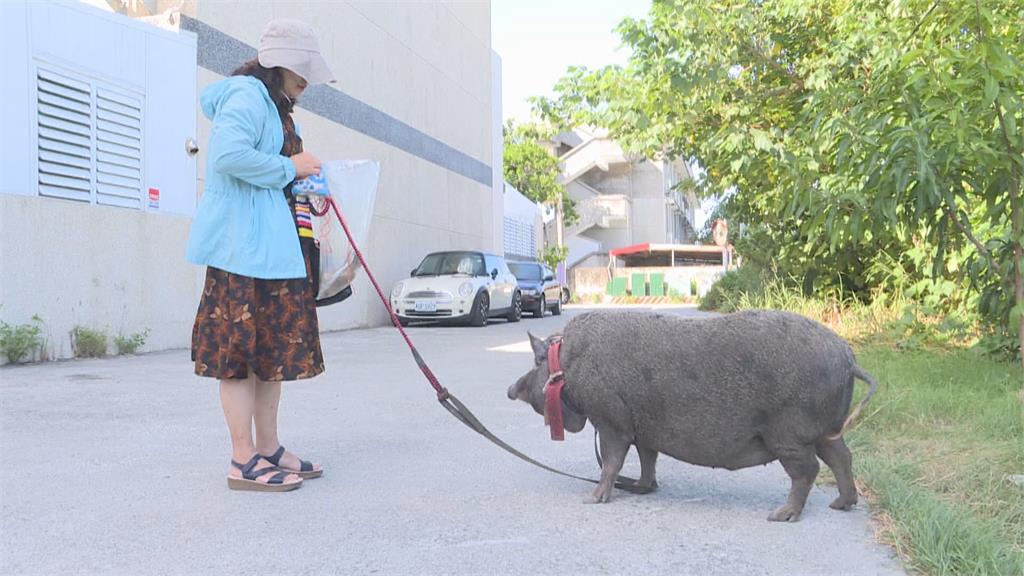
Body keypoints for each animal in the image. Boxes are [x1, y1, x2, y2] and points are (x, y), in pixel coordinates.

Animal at [507, 309, 876, 520]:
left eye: (536, 362)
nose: (511, 389)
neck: (567, 364)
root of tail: (848, 357)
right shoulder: (644, 430)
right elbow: (647, 460)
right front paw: (642, 487)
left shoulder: (612, 421)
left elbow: (612, 461)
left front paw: (592, 500)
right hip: (826, 428)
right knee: (842, 457)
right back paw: (840, 505)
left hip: (790, 433)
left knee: (809, 469)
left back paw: (779, 515)